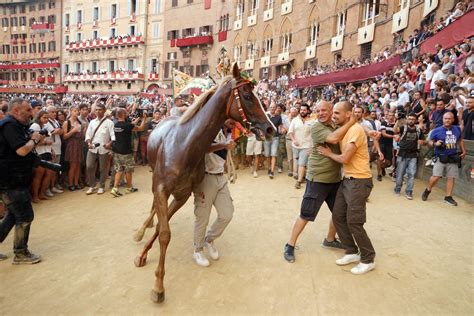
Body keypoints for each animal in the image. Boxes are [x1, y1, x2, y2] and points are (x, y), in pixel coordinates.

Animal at [134, 64, 274, 304]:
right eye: (247, 96)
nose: (271, 128)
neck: (184, 146)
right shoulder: (161, 188)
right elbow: (164, 232)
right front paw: (158, 286)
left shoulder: (183, 194)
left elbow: (164, 228)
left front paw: (148, 259)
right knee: (153, 206)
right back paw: (143, 228)